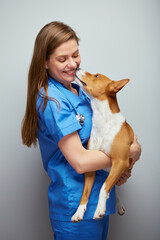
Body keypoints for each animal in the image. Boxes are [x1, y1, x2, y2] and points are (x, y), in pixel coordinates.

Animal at [71, 68, 134, 222]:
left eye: (96, 75)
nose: (77, 67)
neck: (102, 120)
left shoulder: (120, 162)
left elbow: (103, 188)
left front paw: (99, 209)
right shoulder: (89, 167)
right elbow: (85, 193)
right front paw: (79, 212)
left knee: (110, 186)